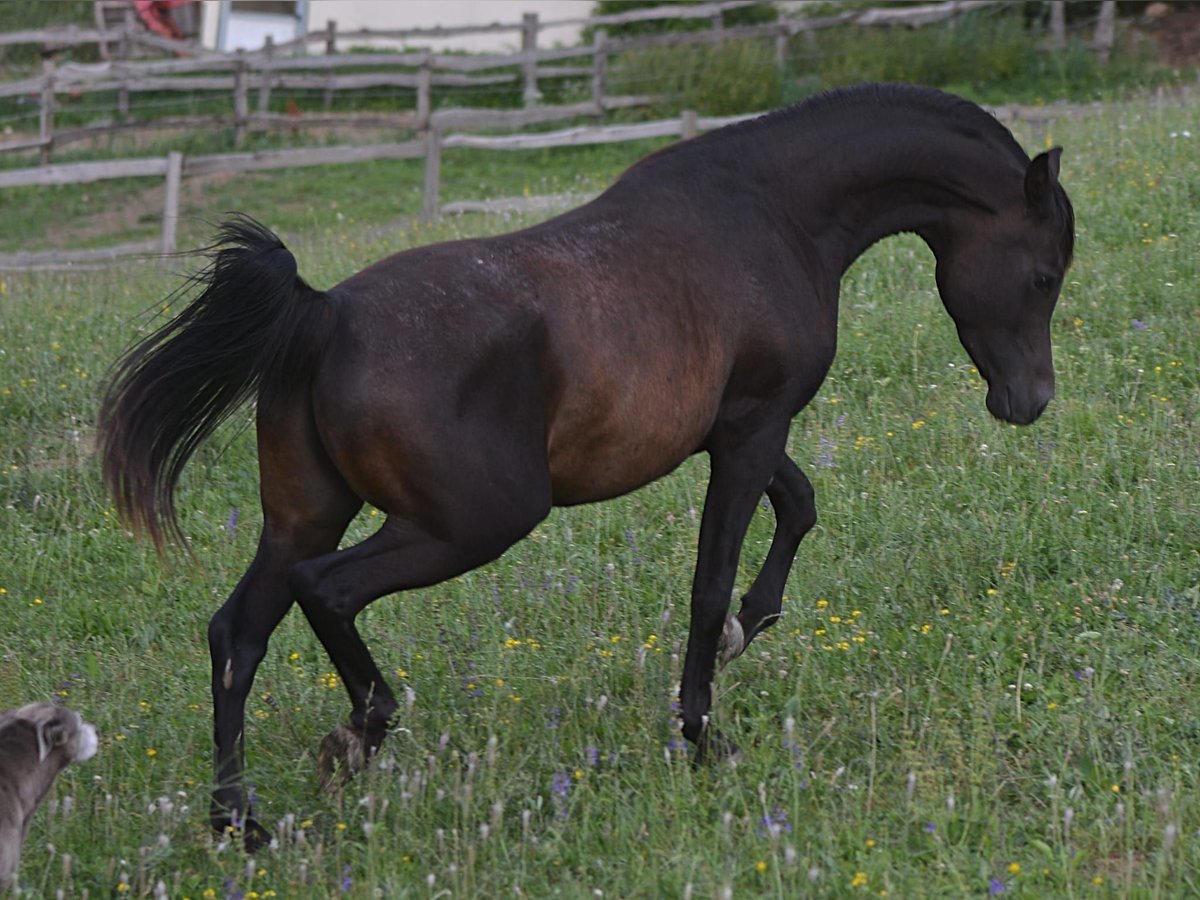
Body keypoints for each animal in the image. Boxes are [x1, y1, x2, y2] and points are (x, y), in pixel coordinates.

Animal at [100, 84, 1080, 844]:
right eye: (1045, 274)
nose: (1029, 401)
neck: (771, 215)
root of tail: (321, 315)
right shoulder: (753, 428)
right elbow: (711, 583)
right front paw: (702, 737)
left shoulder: (739, 431)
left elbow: (798, 510)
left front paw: (744, 637)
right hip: (471, 523)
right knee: (325, 592)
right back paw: (355, 738)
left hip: (305, 514)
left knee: (238, 634)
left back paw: (240, 822)